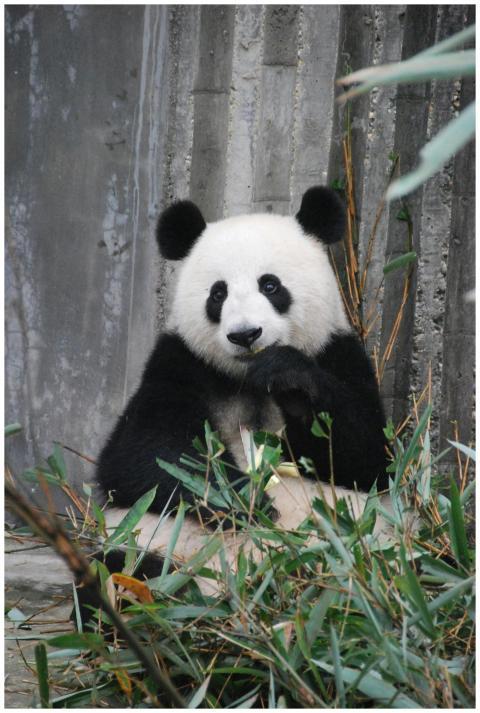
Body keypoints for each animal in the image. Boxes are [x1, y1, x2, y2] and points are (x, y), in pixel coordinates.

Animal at [94, 186, 389, 595]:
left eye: (270, 285)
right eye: (218, 294)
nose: (245, 334)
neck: (247, 377)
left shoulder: (337, 352)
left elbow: (367, 457)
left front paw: (289, 377)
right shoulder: (180, 364)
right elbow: (140, 456)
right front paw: (245, 499)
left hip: (358, 554)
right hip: (145, 543)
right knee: (116, 572)